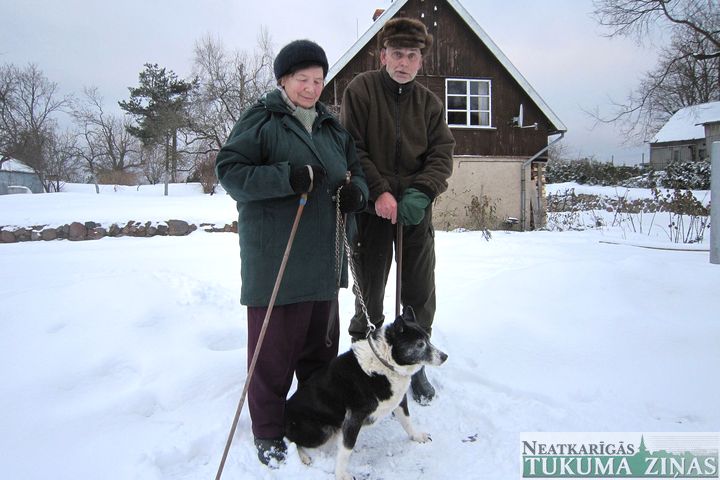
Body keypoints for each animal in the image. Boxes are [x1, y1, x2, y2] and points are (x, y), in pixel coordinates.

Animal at [284, 308, 448, 480]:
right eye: (420, 344)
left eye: (428, 339)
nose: (445, 356)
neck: (385, 362)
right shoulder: (354, 416)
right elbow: (346, 449)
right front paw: (341, 474)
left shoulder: (399, 401)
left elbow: (407, 422)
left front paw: (417, 437)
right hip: (321, 431)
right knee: (290, 439)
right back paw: (303, 457)